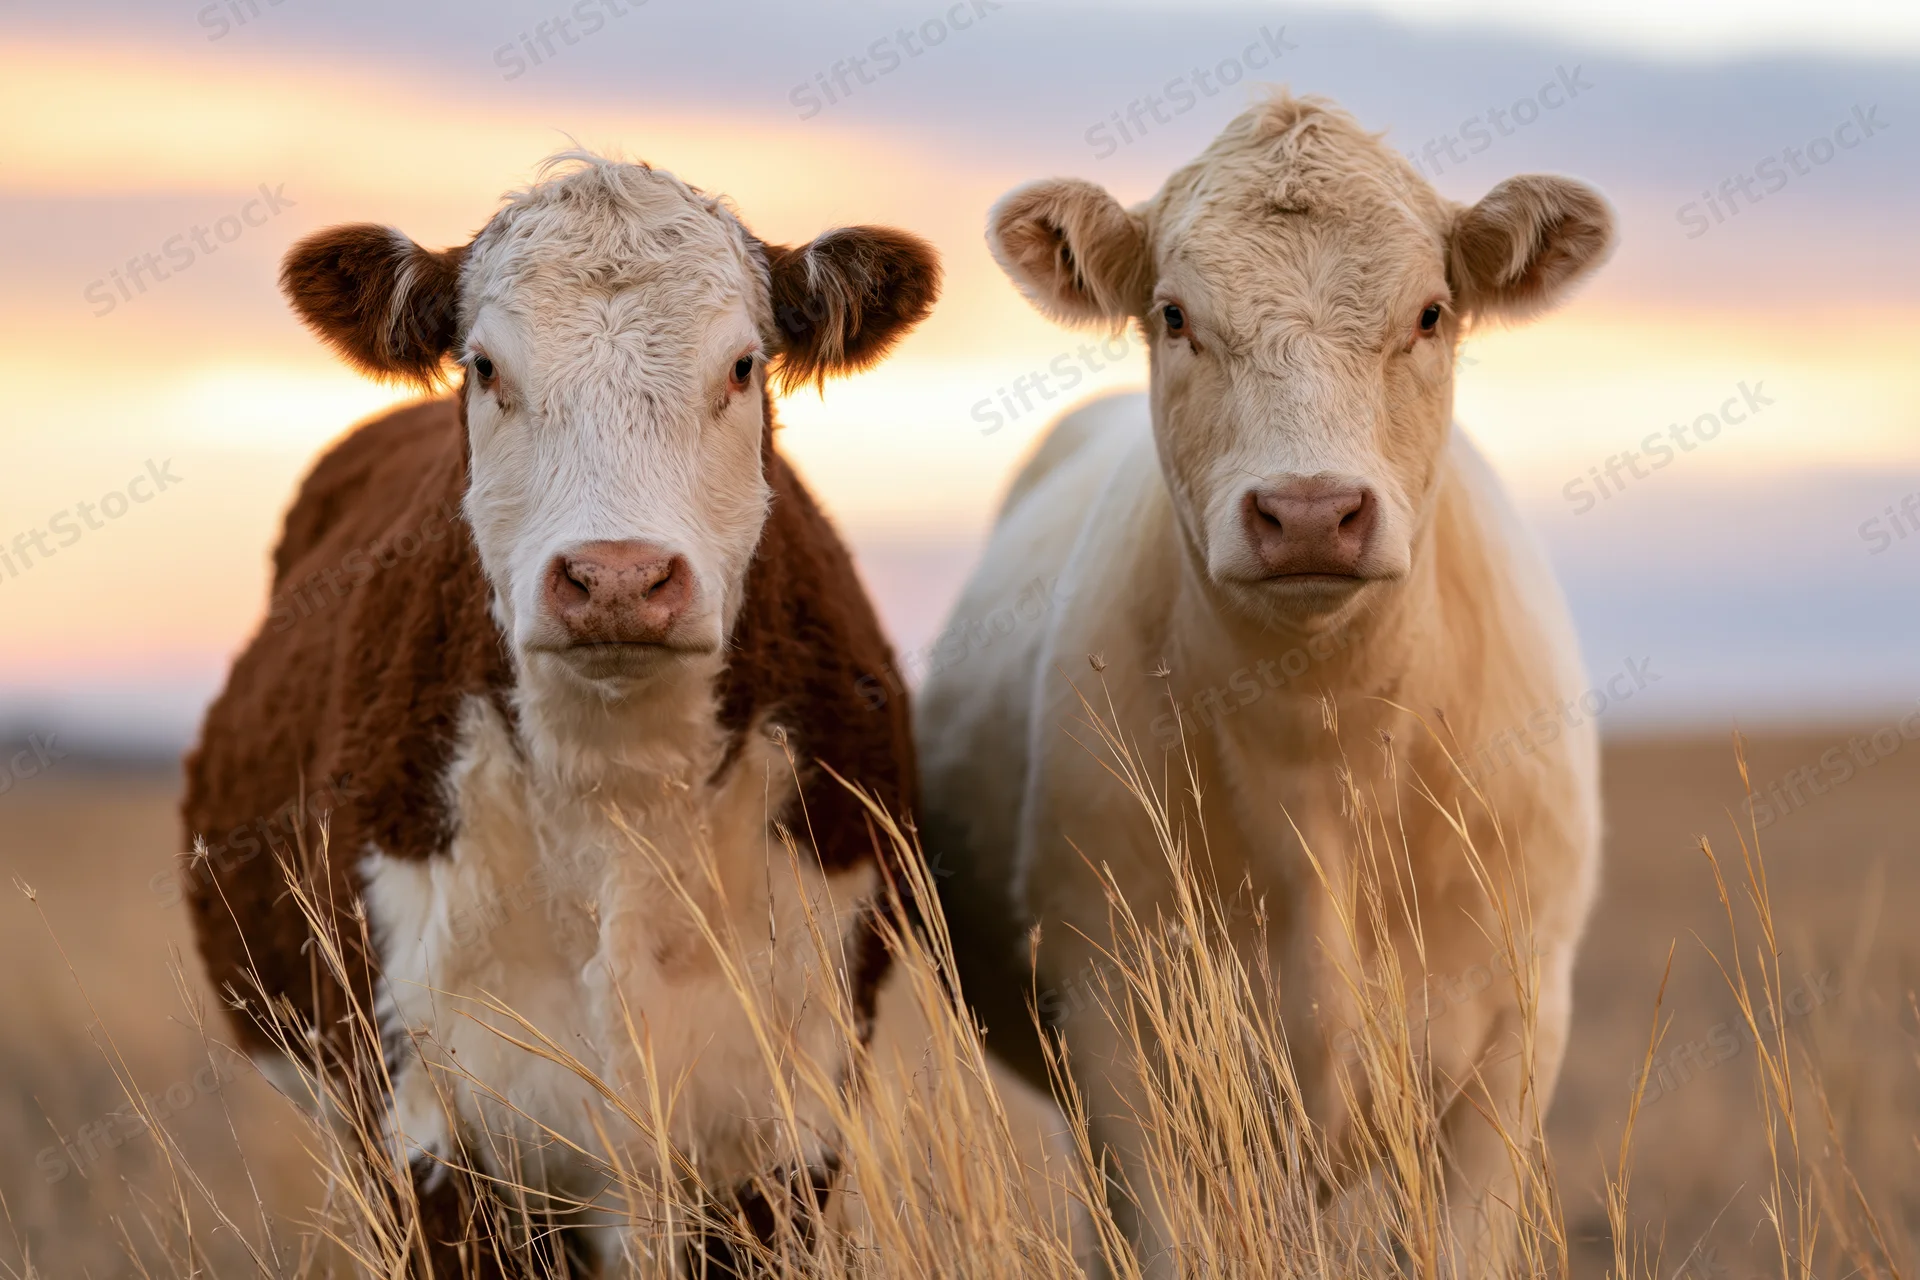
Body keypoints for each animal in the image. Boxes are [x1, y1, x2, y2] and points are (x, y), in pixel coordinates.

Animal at [182, 153, 940, 1275]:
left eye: (742, 365)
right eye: (487, 366)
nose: (617, 577)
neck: (612, 798)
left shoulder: (785, 1132)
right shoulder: (426, 1127)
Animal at [915, 93, 1611, 1276]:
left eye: (1431, 312)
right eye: (1174, 314)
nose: (1311, 512)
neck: (1321, 749)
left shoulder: (1518, 1033)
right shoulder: (1121, 1041)